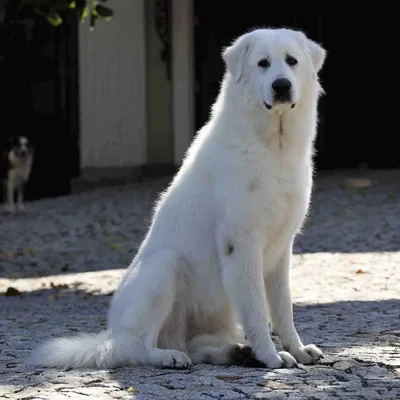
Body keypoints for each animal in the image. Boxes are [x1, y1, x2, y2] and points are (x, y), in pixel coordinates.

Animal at [29, 27, 326, 372]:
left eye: (291, 61)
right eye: (263, 63)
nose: (281, 85)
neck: (271, 146)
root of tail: (109, 337)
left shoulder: (281, 250)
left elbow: (282, 309)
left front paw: (297, 349)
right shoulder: (242, 244)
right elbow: (257, 310)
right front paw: (271, 356)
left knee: (196, 346)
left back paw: (236, 352)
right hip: (165, 266)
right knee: (137, 346)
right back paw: (169, 356)